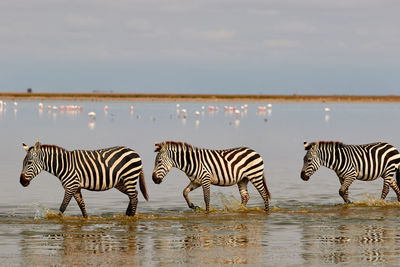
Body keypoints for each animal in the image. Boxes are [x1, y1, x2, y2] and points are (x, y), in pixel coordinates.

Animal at [18, 142, 147, 218]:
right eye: (23, 162)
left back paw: (131, 217)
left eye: (29, 163)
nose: (21, 181)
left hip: (129, 178)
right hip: (120, 182)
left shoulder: (70, 187)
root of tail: (135, 152)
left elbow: (62, 208)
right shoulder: (76, 188)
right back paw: (127, 215)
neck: (64, 165)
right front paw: (86, 219)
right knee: (134, 194)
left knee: (133, 198)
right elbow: (82, 206)